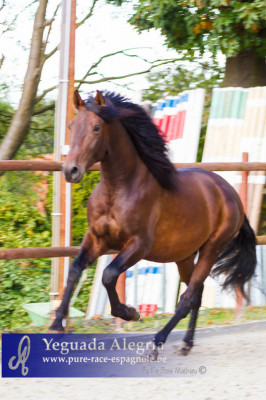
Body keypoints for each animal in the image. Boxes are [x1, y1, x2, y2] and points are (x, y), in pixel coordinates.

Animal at [48, 90, 256, 354]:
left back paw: (158, 341)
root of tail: (229, 192)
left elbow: (108, 274)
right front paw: (56, 325)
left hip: (211, 248)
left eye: (96, 127)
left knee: (188, 297)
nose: (70, 170)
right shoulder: (96, 238)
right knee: (196, 293)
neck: (117, 189)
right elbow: (75, 270)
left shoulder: (138, 245)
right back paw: (186, 343)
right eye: (70, 126)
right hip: (184, 256)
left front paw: (130, 313)